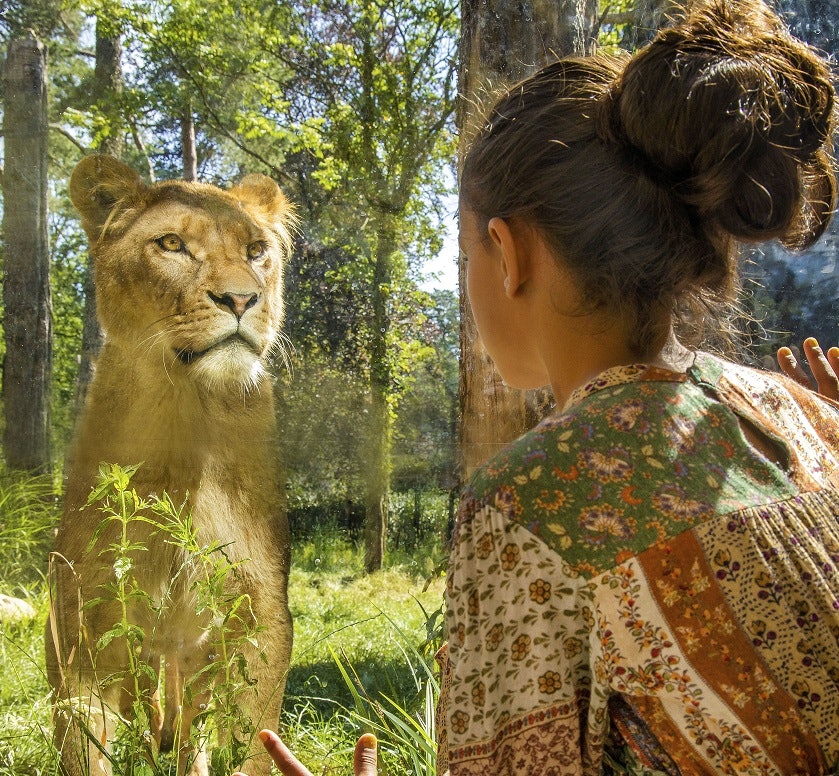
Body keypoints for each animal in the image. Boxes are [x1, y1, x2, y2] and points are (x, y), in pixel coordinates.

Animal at [47, 156, 298, 776]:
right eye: (171, 244)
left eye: (257, 250)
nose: (241, 299)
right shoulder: (82, 620)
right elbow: (86, 742)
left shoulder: (262, 612)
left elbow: (250, 746)